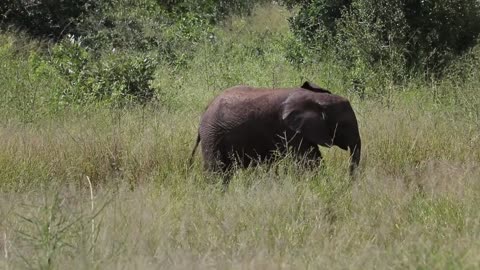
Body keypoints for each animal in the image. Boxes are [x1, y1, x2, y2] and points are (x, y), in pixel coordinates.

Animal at [189, 80, 362, 181]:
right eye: (344, 125)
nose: (349, 182)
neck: (316, 98)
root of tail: (206, 110)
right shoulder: (291, 131)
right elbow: (310, 161)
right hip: (212, 135)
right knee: (217, 171)